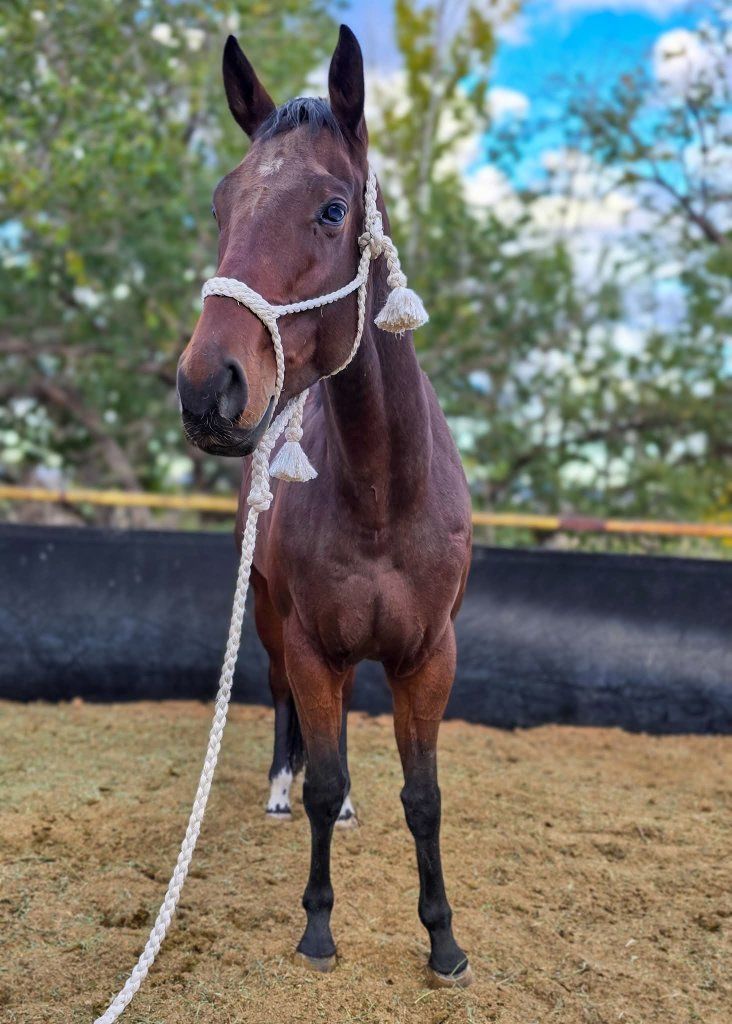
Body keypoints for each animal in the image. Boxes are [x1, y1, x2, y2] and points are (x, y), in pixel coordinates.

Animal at [176, 25, 473, 988]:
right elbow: (326, 774)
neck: (383, 492)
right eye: (223, 205)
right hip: (272, 621)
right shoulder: (309, 644)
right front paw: (316, 928)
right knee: (286, 711)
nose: (207, 388)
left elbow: (424, 796)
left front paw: (444, 942)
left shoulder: (429, 655)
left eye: (334, 210)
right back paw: (279, 788)